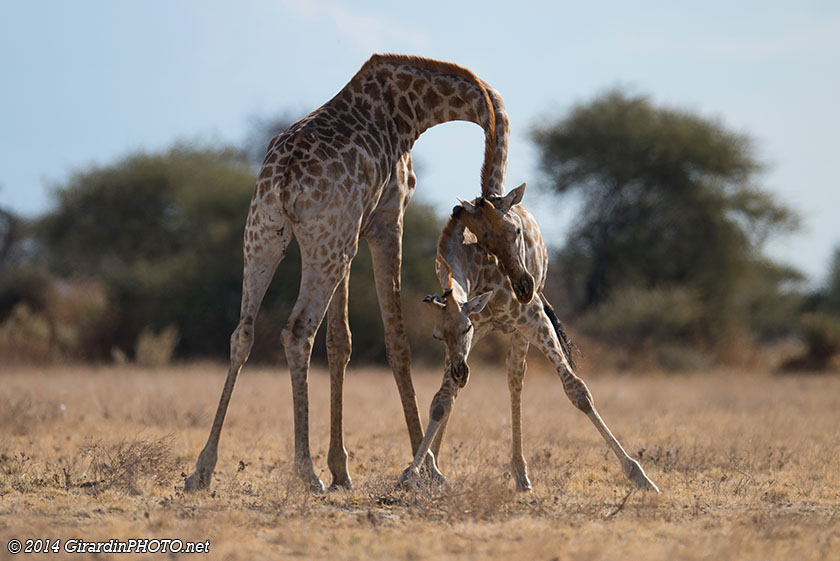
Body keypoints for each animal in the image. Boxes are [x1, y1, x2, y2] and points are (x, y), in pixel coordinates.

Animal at [184, 54, 533, 492]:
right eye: (503, 235)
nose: (524, 286)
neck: (413, 109)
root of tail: (285, 177)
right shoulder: (388, 219)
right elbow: (397, 343)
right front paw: (428, 470)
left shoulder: (352, 233)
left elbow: (340, 342)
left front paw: (341, 469)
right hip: (322, 241)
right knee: (297, 331)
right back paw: (306, 471)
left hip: (269, 233)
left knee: (242, 333)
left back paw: (203, 469)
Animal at [399, 183, 660, 492]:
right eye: (436, 336)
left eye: (466, 328)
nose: (460, 372)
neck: (478, 269)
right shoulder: (467, 340)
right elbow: (441, 401)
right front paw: (416, 471)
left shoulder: (534, 321)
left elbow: (578, 391)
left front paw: (639, 475)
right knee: (480, 386)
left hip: (523, 328)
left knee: (516, 379)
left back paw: (522, 476)